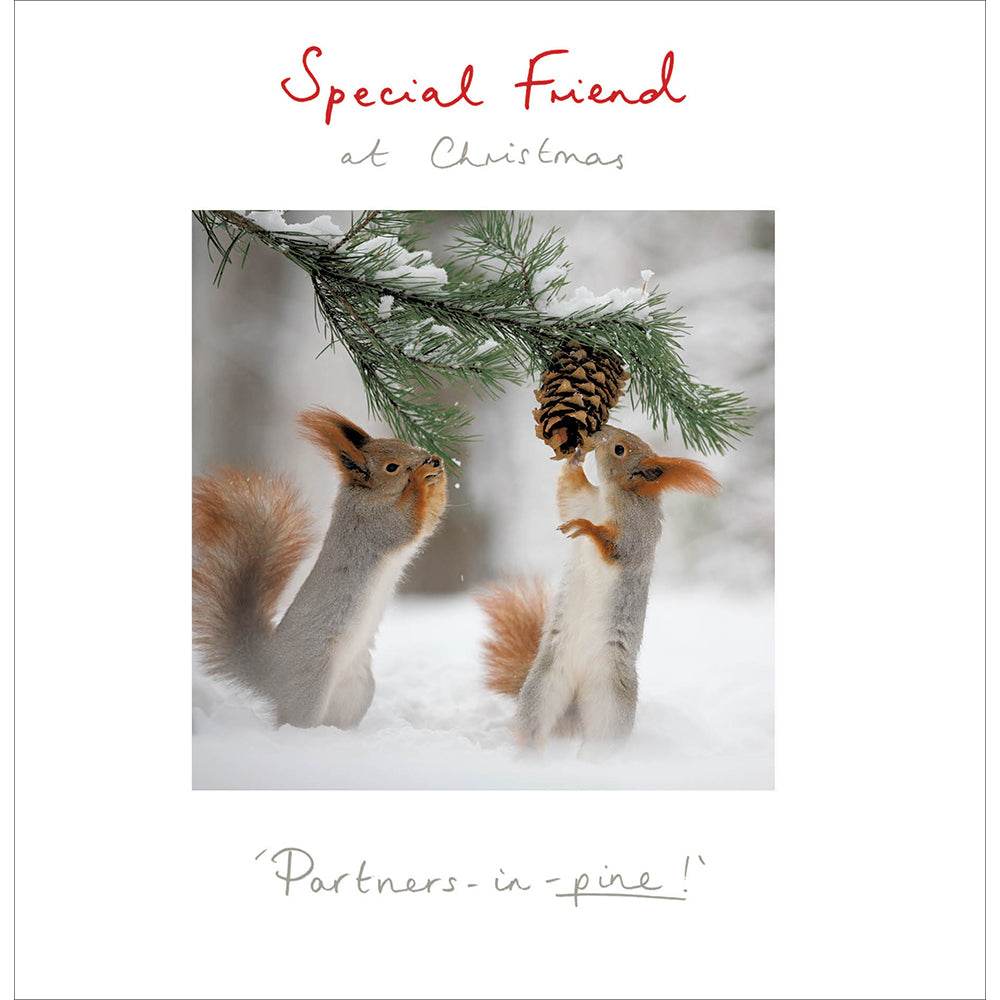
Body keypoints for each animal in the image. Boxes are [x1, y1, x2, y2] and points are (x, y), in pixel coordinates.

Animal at [192, 408, 447, 729]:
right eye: (392, 467)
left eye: (402, 442)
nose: (431, 459)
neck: (366, 495)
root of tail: (270, 674)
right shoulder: (376, 524)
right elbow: (410, 525)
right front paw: (422, 480)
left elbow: (431, 520)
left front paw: (440, 475)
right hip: (311, 685)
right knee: (295, 720)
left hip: (359, 689)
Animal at [479, 425, 719, 747]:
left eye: (619, 450)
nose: (599, 429)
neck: (609, 496)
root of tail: (577, 698)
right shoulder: (581, 499)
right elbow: (566, 493)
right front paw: (574, 456)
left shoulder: (635, 534)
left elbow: (613, 548)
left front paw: (587, 527)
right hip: (544, 684)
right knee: (535, 726)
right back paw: (528, 753)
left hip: (611, 700)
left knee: (602, 742)